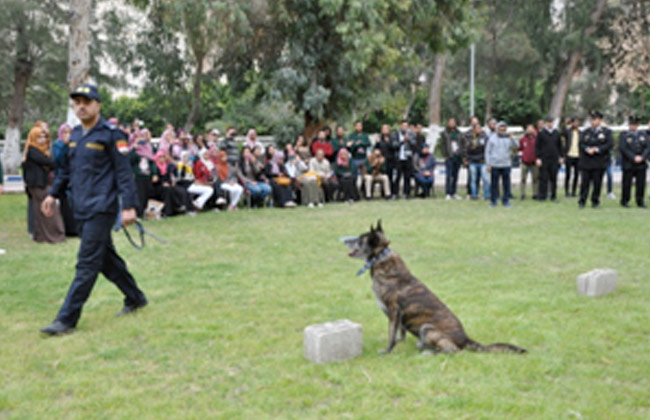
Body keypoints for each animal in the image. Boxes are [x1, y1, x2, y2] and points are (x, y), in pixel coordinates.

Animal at [342, 220, 524, 354]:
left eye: (360, 239)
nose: (345, 240)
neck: (381, 258)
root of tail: (465, 339)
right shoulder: (397, 316)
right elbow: (400, 331)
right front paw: (400, 341)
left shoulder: (393, 311)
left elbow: (391, 334)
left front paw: (388, 350)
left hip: (427, 328)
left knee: (453, 350)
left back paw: (429, 351)